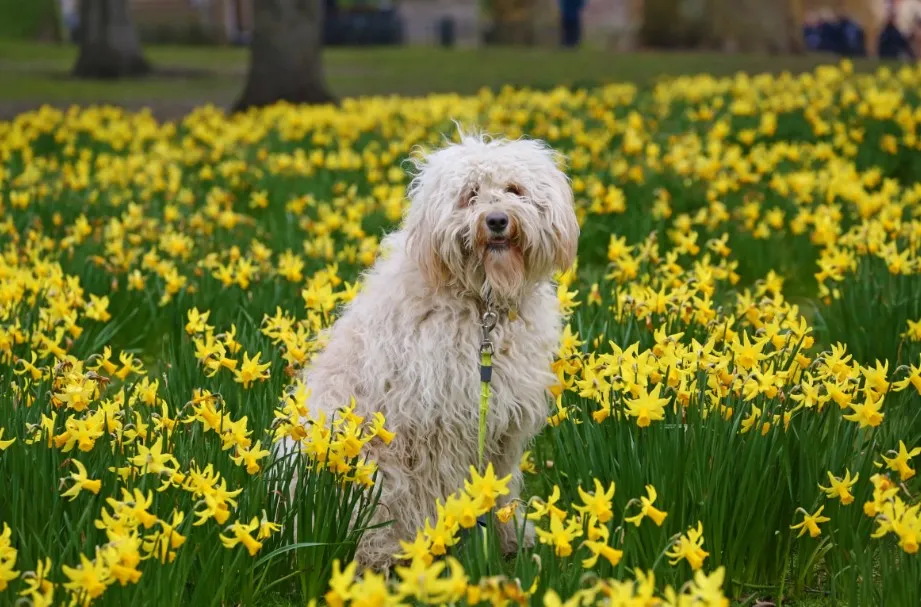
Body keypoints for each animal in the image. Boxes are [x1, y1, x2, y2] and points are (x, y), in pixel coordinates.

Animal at [286, 132, 576, 568]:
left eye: (514, 190)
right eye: (470, 195)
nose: (496, 220)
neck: (482, 305)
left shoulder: (501, 431)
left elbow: (499, 487)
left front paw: (508, 539)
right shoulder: (439, 430)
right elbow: (440, 491)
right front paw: (446, 540)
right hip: (364, 471)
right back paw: (381, 555)